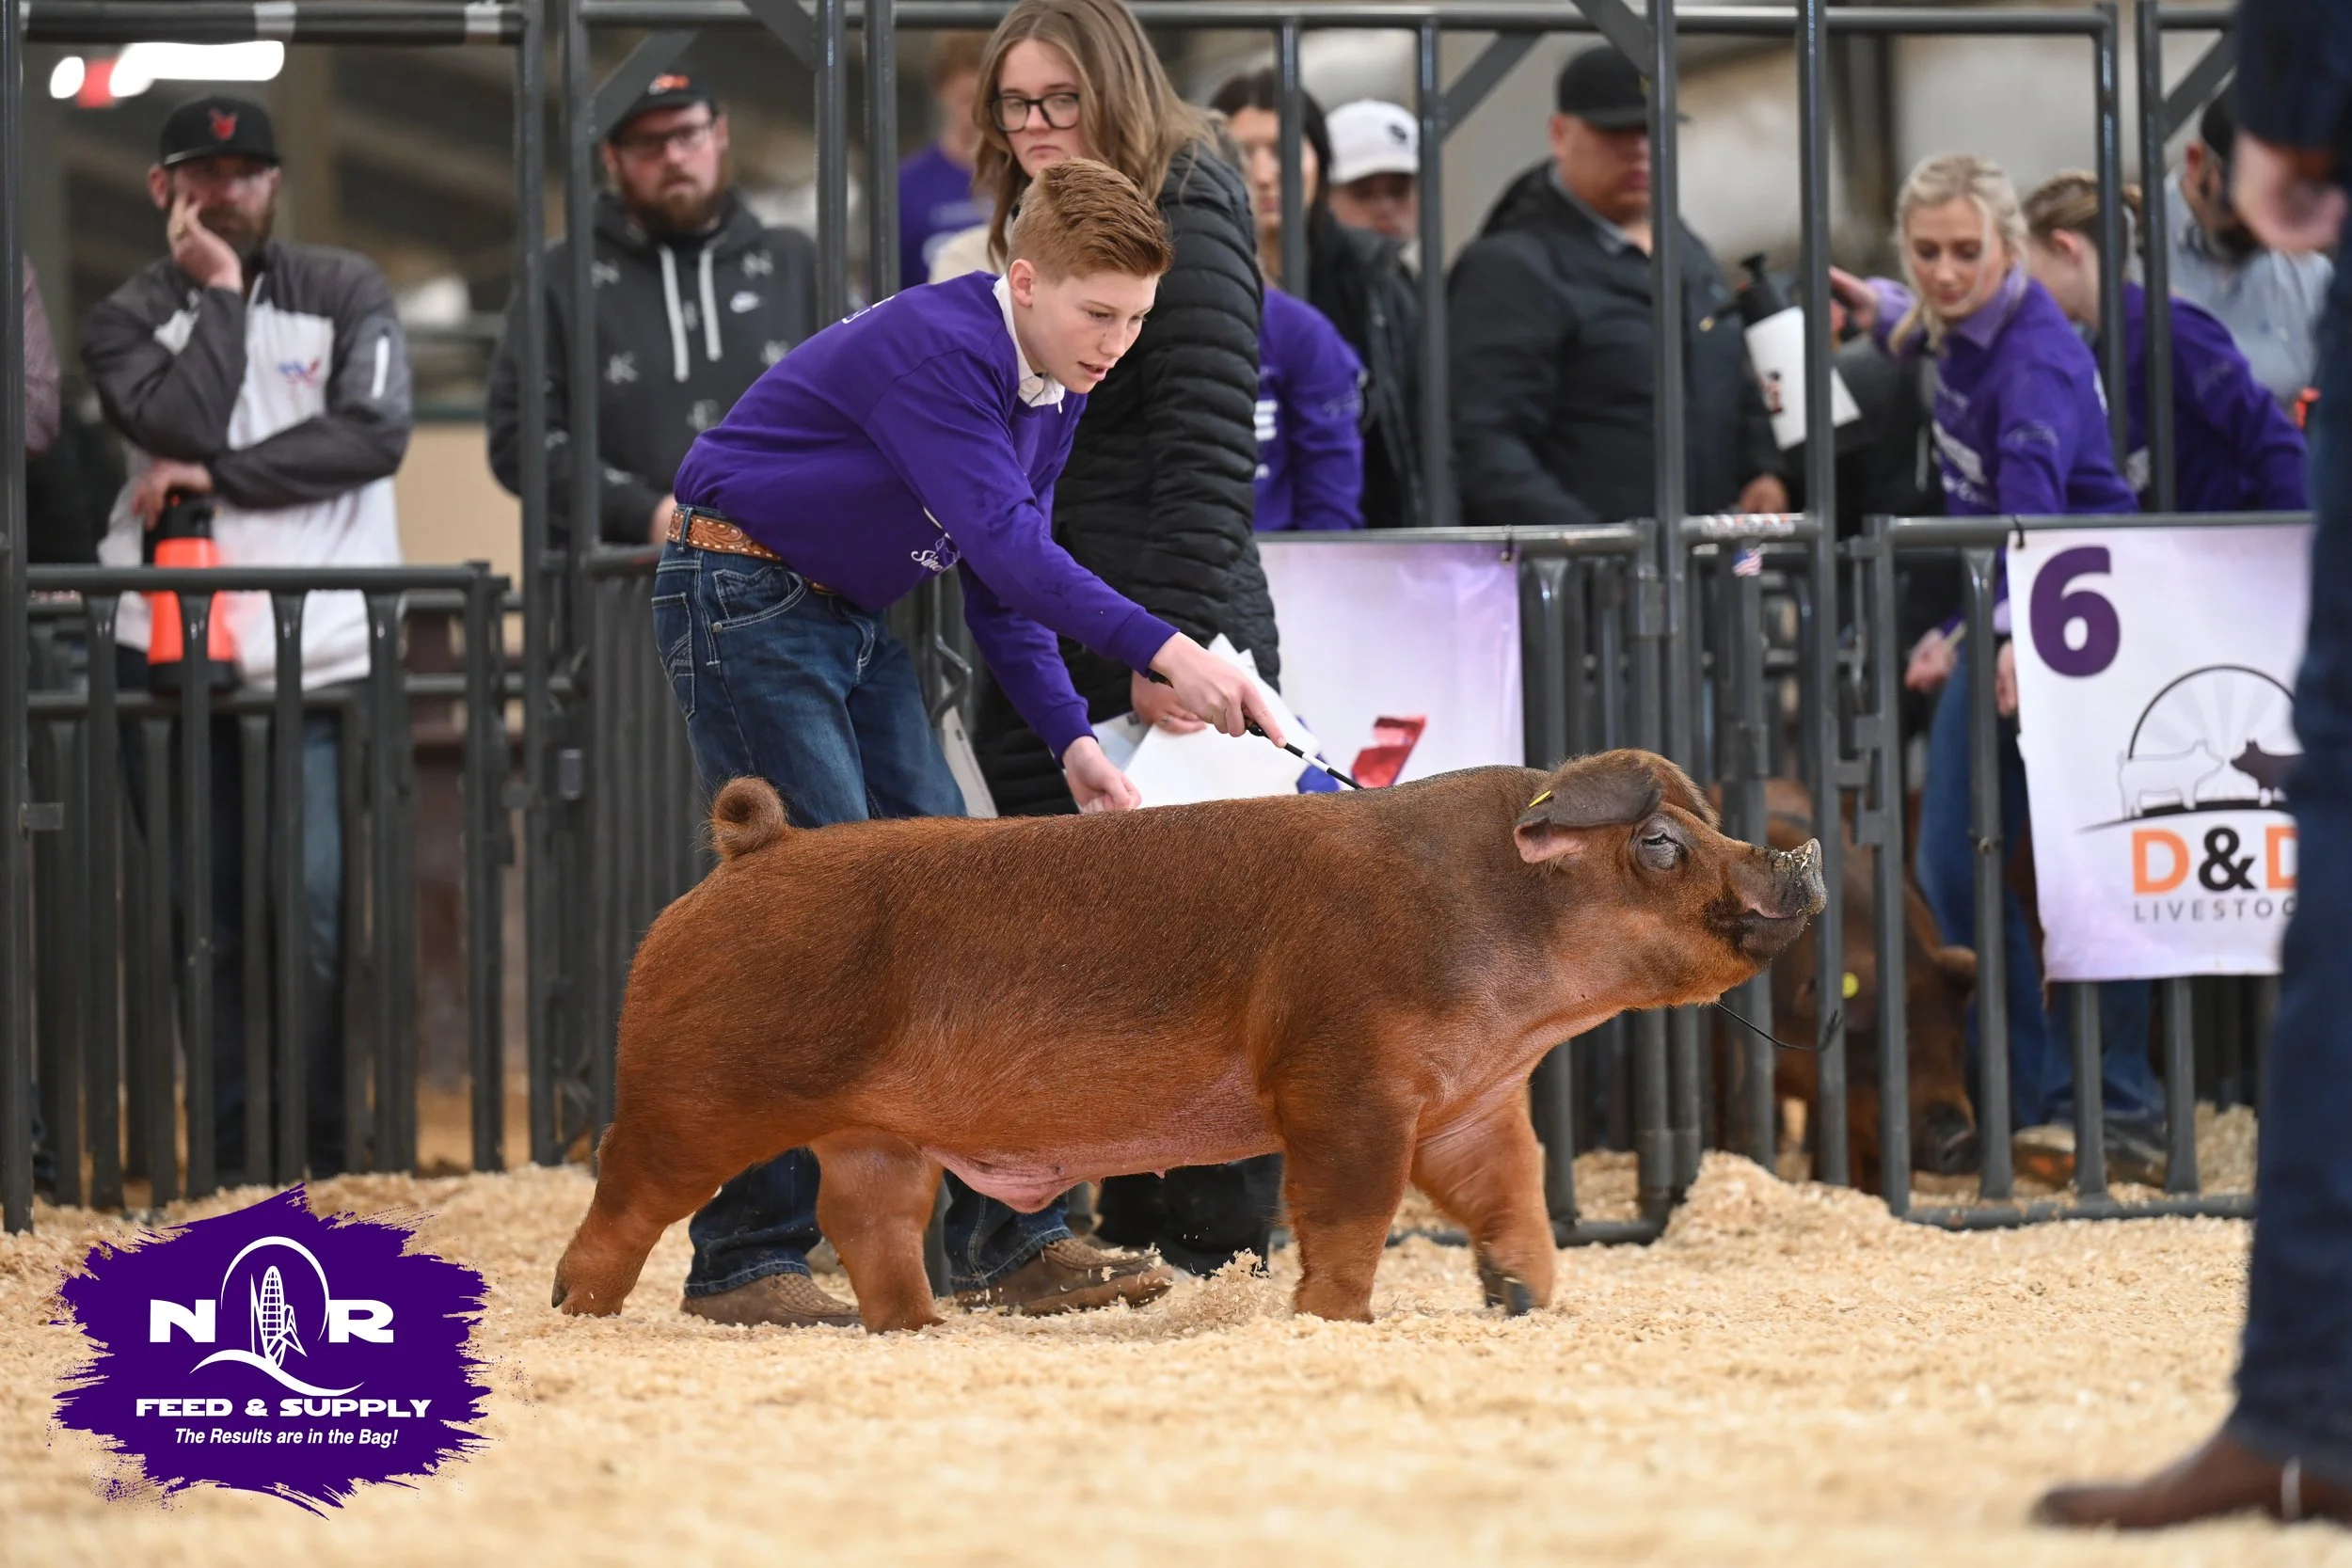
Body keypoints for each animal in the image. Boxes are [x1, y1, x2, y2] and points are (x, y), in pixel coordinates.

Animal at [552, 749, 1825, 1332]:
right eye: (1660, 841)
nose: (1799, 859)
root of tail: (746, 851)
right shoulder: (1341, 1079)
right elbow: (1348, 1207)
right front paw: (1337, 1321)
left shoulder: (1471, 1101)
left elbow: (1511, 1192)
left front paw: (1526, 1299)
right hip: (693, 1088)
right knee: (627, 1192)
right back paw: (578, 1309)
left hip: (877, 1131)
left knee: (868, 1218)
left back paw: (919, 1328)